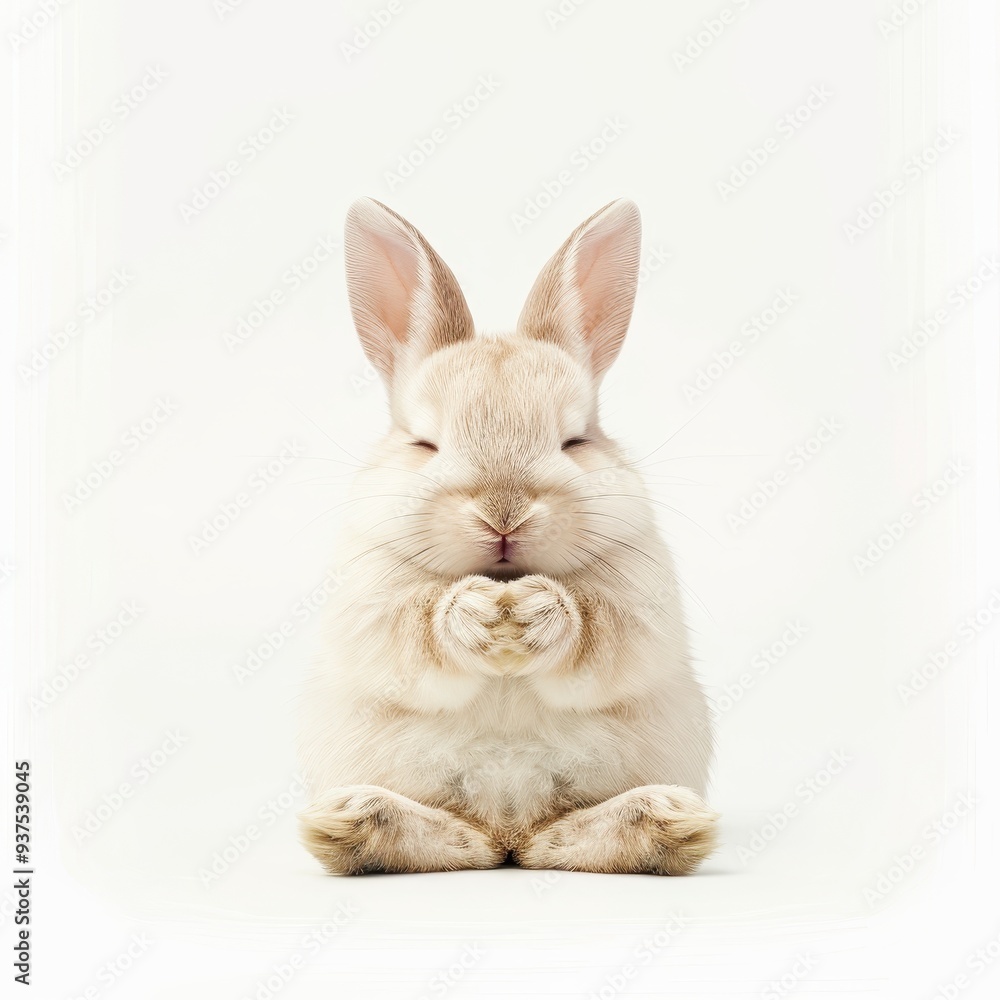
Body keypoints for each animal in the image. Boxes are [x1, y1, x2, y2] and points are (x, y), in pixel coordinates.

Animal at [297, 197, 718, 876]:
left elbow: (601, 628)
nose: (504, 515)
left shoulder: (641, 603)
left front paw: (537, 614)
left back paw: (666, 822)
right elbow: (413, 627)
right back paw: (353, 822)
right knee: (453, 842)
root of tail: (509, 833)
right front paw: (477, 615)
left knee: (564, 841)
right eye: (424, 444)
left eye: (576, 441)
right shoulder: (370, 605)